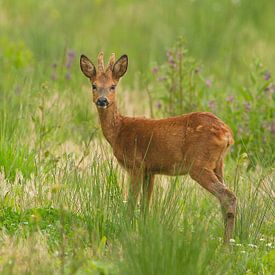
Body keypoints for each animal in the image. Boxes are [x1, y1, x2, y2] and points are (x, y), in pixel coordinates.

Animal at [80, 52, 237, 246]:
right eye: (94, 85)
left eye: (112, 86)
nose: (102, 101)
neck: (119, 131)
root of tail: (228, 134)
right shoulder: (150, 170)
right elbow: (145, 206)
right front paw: (143, 232)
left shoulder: (136, 165)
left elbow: (132, 202)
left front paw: (127, 231)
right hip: (218, 164)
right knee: (224, 198)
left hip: (199, 164)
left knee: (228, 196)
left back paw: (225, 245)